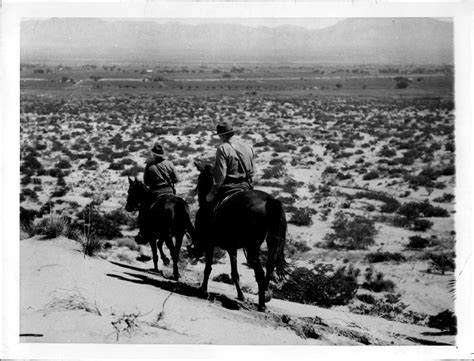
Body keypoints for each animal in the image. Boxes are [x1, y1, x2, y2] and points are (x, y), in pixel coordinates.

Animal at [190, 162, 288, 310]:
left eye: (200, 179)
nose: (199, 196)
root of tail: (270, 201)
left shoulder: (209, 244)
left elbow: (208, 268)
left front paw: (203, 289)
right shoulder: (232, 249)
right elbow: (234, 273)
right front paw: (241, 295)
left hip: (252, 246)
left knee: (260, 273)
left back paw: (261, 304)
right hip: (271, 242)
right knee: (269, 268)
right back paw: (265, 297)